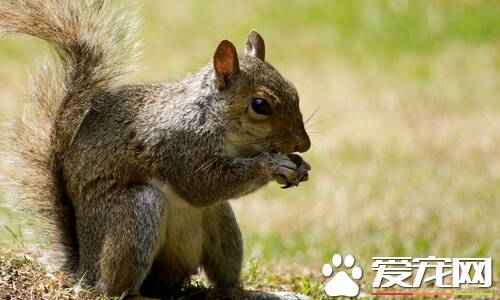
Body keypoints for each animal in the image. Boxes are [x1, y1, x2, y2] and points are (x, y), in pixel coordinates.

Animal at [0, 1, 310, 298]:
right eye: (260, 105)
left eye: (295, 92)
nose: (304, 144)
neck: (212, 116)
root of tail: (84, 269)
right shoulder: (177, 143)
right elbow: (200, 185)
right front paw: (273, 165)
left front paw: (300, 166)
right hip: (135, 213)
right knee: (114, 290)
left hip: (221, 222)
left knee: (226, 287)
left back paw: (260, 294)